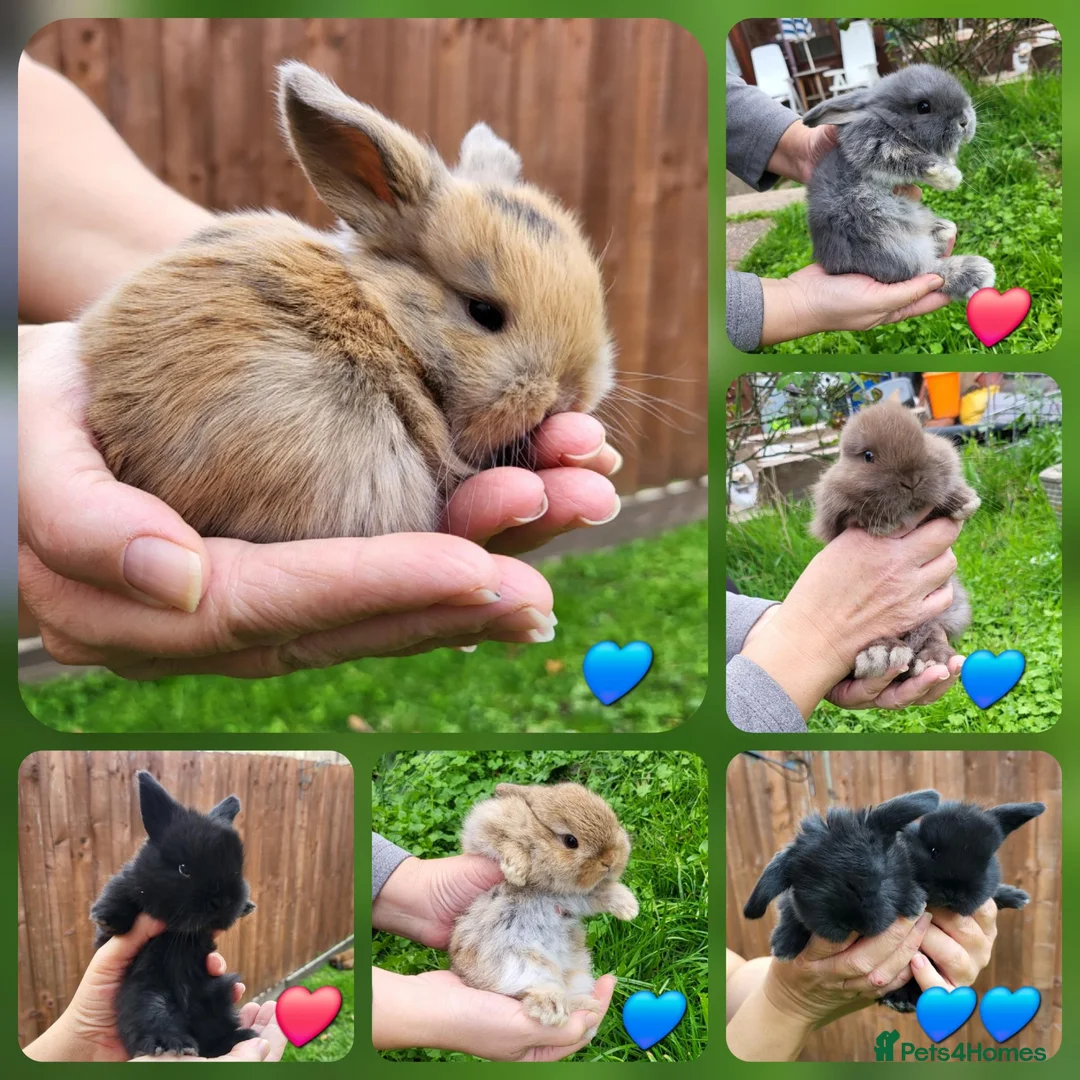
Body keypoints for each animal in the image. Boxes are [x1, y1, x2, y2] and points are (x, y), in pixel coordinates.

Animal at [89, 771, 257, 1058]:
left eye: (238, 870)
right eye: (183, 869)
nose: (223, 901)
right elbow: (120, 887)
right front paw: (108, 917)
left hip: (216, 997)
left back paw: (240, 1037)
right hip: (147, 991)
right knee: (155, 1015)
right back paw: (172, 1043)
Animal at [449, 782, 638, 1030]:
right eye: (570, 841)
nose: (611, 860)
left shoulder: (575, 897)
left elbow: (602, 893)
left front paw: (630, 909)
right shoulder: (485, 826)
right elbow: (505, 841)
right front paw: (517, 872)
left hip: (577, 971)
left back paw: (587, 1007)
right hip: (517, 964)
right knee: (533, 989)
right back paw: (553, 1009)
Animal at [744, 789, 940, 960]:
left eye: (879, 879)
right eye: (809, 889)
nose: (849, 925)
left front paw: (914, 901)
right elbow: (788, 910)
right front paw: (783, 946)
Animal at [802, 64, 995, 302]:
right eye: (923, 107)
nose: (965, 121)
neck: (889, 122)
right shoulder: (874, 147)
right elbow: (911, 159)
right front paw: (950, 177)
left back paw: (943, 229)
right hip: (889, 242)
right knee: (925, 269)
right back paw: (976, 271)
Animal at [810, 397, 981, 681]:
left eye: (922, 435)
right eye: (868, 456)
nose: (912, 479)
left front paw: (964, 503)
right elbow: (851, 514)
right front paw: (881, 524)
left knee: (932, 633)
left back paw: (931, 660)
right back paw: (882, 653)